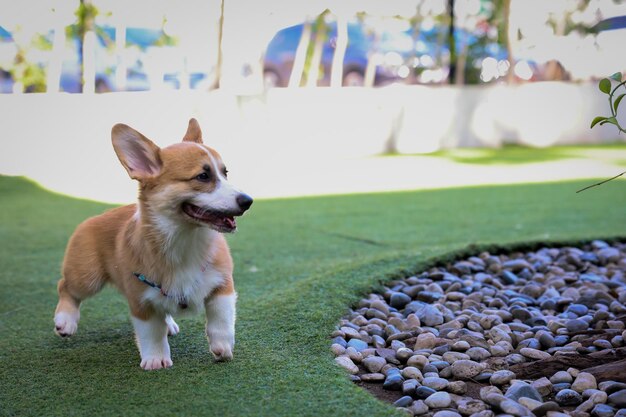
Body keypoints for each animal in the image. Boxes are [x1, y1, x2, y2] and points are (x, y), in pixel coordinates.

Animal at [53, 118, 252, 368]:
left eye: (225, 173)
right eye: (203, 176)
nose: (248, 201)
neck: (185, 239)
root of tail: (96, 216)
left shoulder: (222, 285)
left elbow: (221, 321)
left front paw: (222, 348)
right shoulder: (141, 302)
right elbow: (151, 333)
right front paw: (156, 360)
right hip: (87, 277)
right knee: (65, 286)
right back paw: (65, 321)